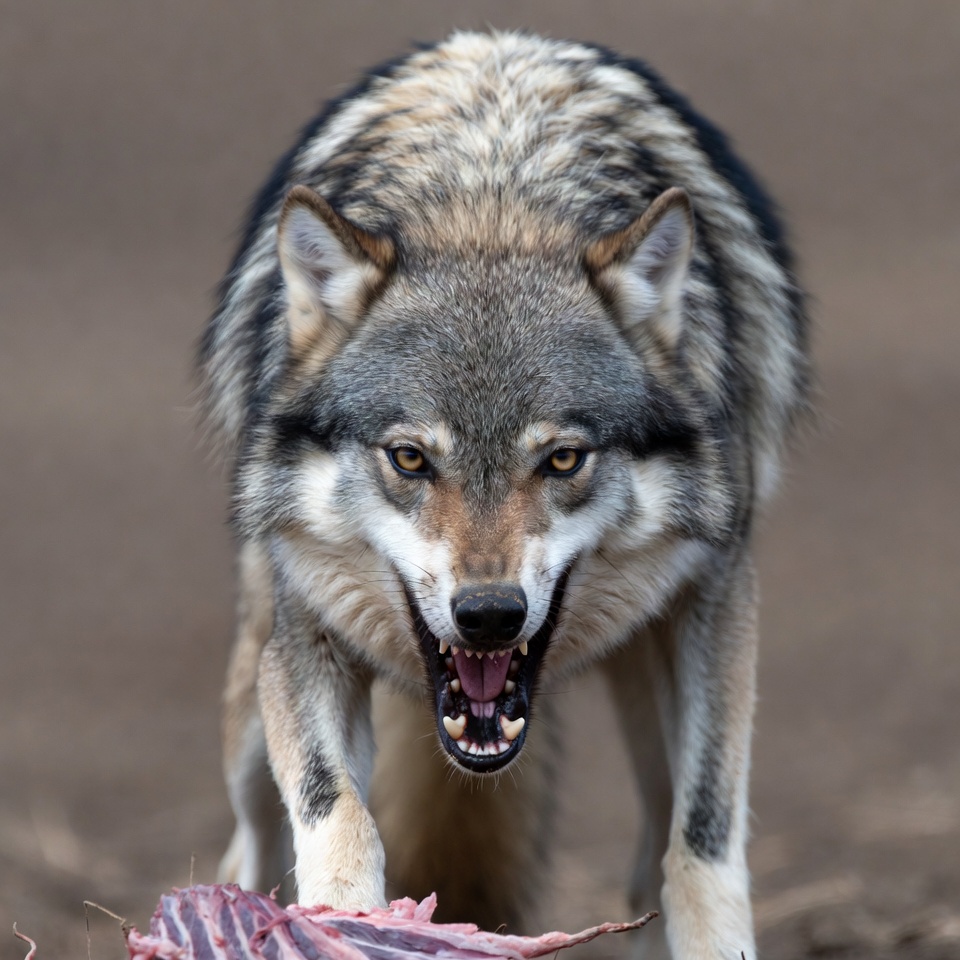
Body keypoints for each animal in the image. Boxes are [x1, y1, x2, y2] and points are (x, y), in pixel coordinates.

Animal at [200, 30, 809, 960]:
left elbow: (702, 839)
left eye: (561, 460)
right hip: (247, 704)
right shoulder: (309, 628)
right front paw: (347, 921)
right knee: (249, 844)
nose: (489, 615)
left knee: (653, 846)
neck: (492, 200)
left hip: (650, 677)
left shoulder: (717, 597)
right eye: (409, 458)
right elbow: (337, 814)